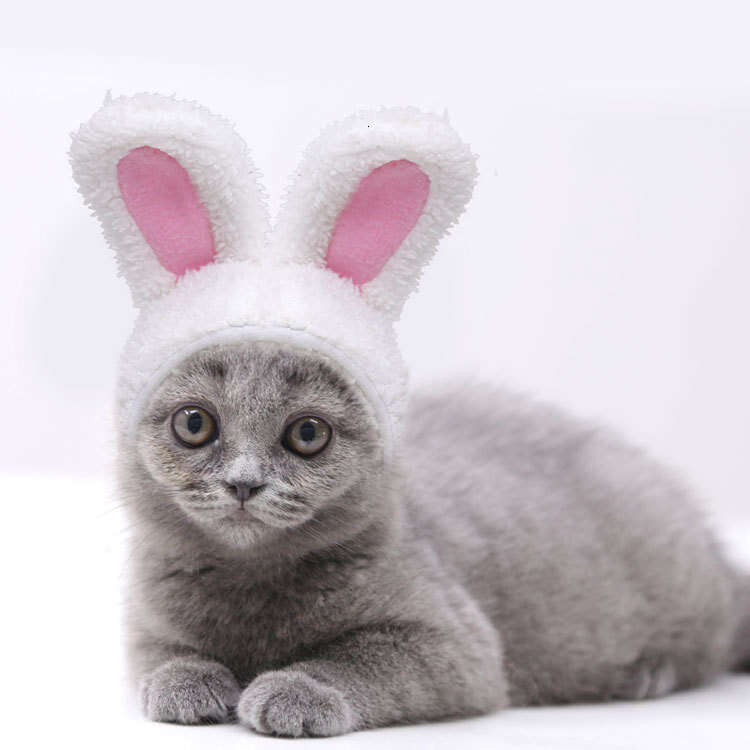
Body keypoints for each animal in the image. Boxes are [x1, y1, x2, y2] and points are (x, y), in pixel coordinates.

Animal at [70, 94, 750, 738]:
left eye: (307, 433)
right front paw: (187, 685)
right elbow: (163, 657)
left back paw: (646, 673)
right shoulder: (147, 625)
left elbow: (360, 660)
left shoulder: (452, 642)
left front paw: (295, 691)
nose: (243, 483)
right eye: (195, 424)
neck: (251, 586)